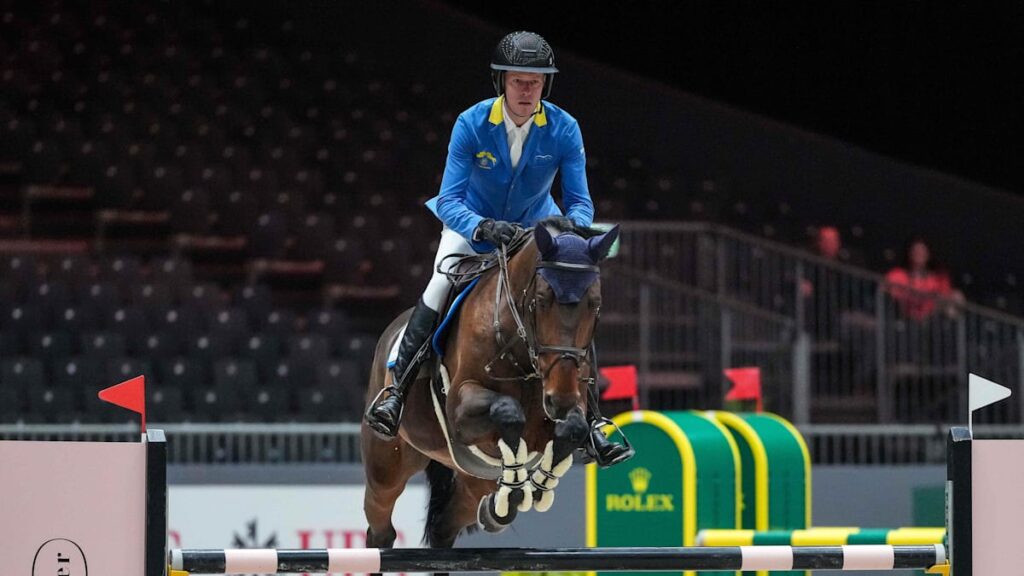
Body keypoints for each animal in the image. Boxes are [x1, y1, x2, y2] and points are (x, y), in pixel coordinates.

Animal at [361, 221, 619, 557]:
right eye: (541, 299)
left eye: (595, 304)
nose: (559, 399)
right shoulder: (460, 410)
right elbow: (508, 411)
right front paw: (515, 490)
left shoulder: (569, 406)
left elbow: (574, 427)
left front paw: (536, 486)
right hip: (386, 467)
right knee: (380, 525)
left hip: (473, 479)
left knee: (445, 524)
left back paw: (494, 511)